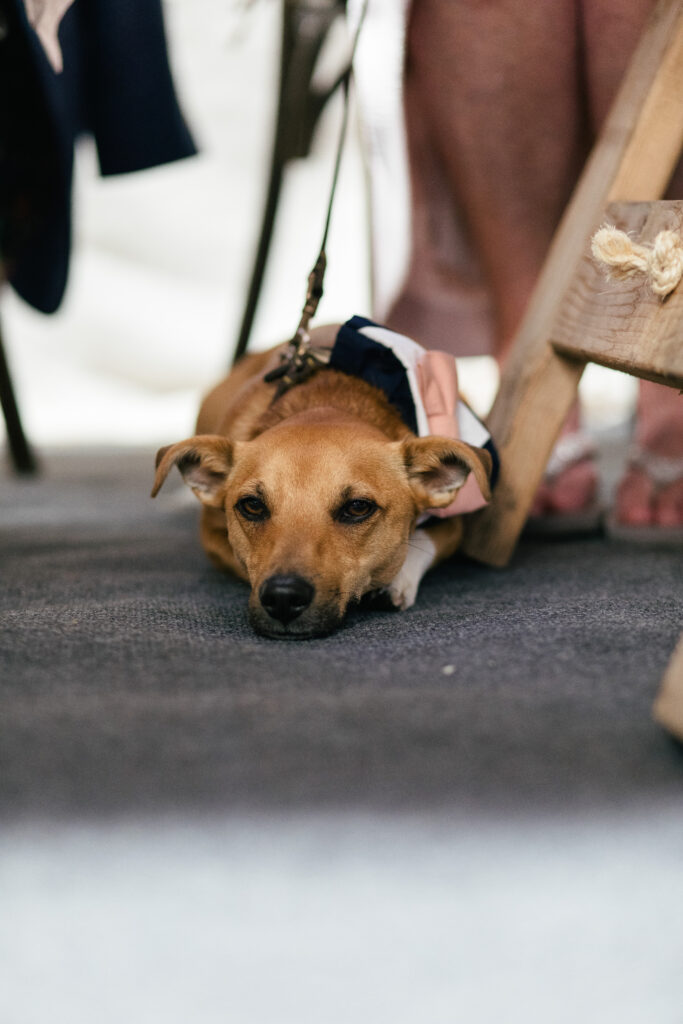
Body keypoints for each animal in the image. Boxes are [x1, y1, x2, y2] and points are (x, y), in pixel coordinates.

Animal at [152, 319, 497, 638]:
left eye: (358, 507)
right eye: (252, 506)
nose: (283, 598)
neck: (328, 401)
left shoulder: (458, 520)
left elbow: (426, 541)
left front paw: (397, 579)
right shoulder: (212, 534)